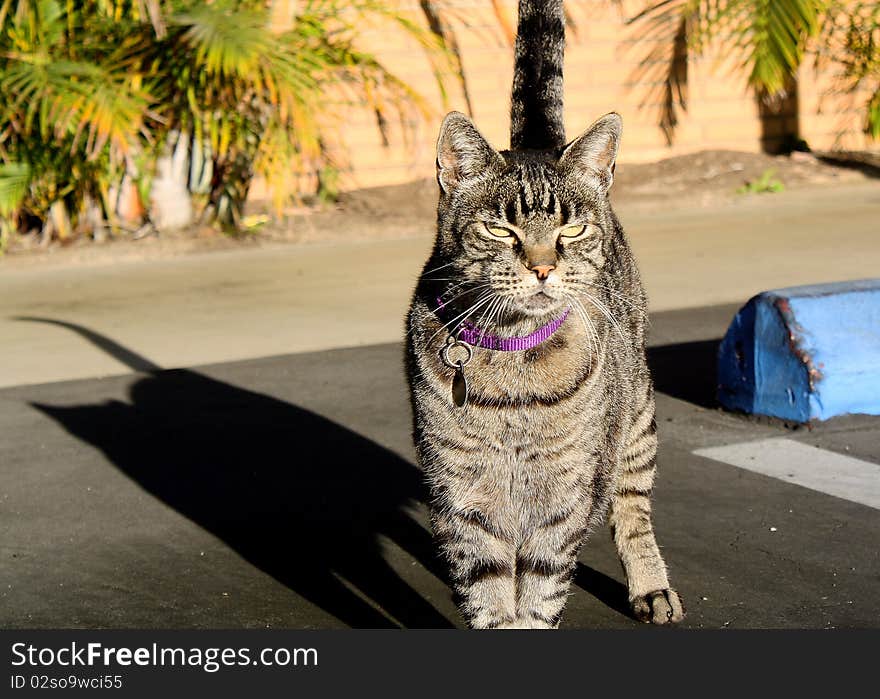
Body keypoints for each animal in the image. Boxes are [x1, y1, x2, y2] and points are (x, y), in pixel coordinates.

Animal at [402, 0, 684, 632]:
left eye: (571, 228)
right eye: (500, 229)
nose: (542, 267)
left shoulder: (564, 498)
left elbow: (541, 589)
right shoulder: (461, 494)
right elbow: (487, 592)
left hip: (637, 418)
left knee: (633, 508)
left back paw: (651, 586)